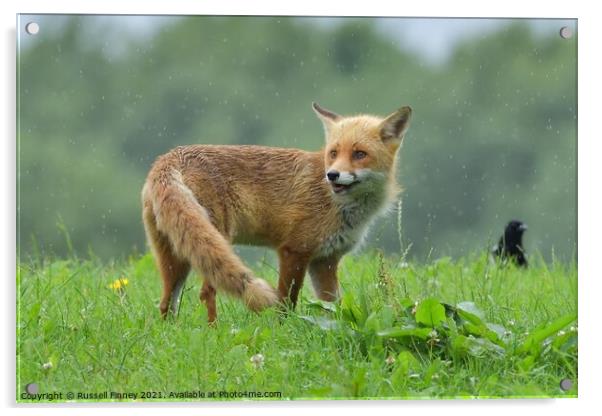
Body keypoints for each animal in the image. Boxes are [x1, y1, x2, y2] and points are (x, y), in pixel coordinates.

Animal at [143, 102, 410, 324]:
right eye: (334, 153)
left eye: (359, 154)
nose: (332, 175)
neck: (340, 205)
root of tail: (167, 159)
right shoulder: (294, 250)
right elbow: (286, 302)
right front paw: (285, 330)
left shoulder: (325, 261)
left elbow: (333, 305)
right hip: (215, 240)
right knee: (206, 292)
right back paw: (214, 332)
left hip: (176, 256)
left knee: (166, 302)